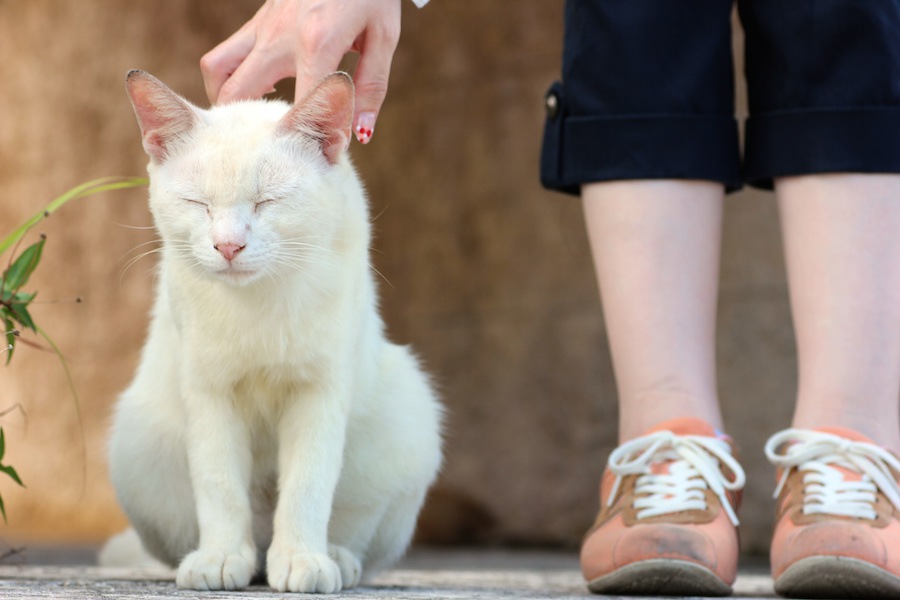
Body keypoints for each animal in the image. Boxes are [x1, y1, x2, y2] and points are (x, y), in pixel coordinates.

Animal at [105, 69, 442, 592]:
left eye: (267, 202)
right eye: (198, 204)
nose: (228, 246)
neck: (258, 302)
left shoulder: (319, 393)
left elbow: (307, 486)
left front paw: (303, 560)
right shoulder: (209, 393)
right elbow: (219, 486)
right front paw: (221, 558)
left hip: (410, 409)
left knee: (351, 534)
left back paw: (332, 558)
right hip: (135, 443)